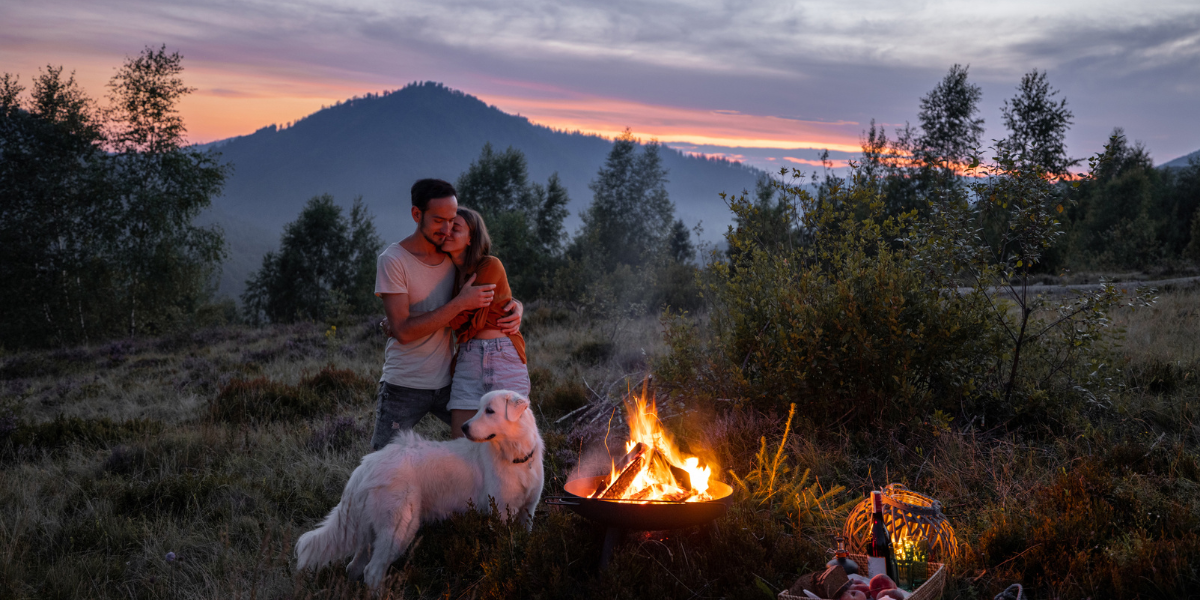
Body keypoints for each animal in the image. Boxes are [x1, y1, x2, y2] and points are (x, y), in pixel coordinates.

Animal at [294, 388, 544, 590]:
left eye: (490, 411)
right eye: (479, 409)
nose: (464, 427)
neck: (516, 457)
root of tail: (367, 464)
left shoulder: (528, 510)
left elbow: (524, 539)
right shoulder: (500, 512)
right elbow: (502, 546)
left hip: (375, 527)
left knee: (355, 566)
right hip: (400, 527)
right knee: (371, 572)